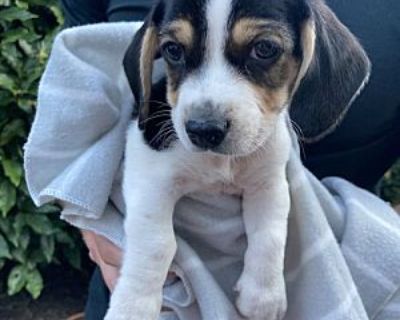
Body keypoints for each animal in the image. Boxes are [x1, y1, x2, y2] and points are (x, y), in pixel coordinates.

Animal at [105, 0, 368, 320]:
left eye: (264, 48)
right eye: (173, 50)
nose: (203, 130)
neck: (219, 164)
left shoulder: (269, 184)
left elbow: (270, 236)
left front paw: (263, 296)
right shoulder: (149, 176)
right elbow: (157, 242)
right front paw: (133, 306)